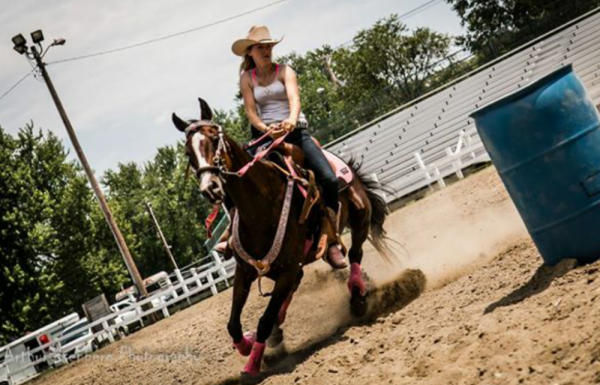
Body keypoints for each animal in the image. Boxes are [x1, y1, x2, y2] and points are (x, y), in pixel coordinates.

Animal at [172, 98, 394, 376]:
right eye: (187, 152)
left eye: (214, 138)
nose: (210, 187)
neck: (262, 205)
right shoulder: (245, 271)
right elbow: (233, 324)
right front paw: (247, 344)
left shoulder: (287, 269)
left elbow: (265, 319)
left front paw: (253, 362)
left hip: (360, 219)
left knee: (355, 254)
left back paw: (356, 295)